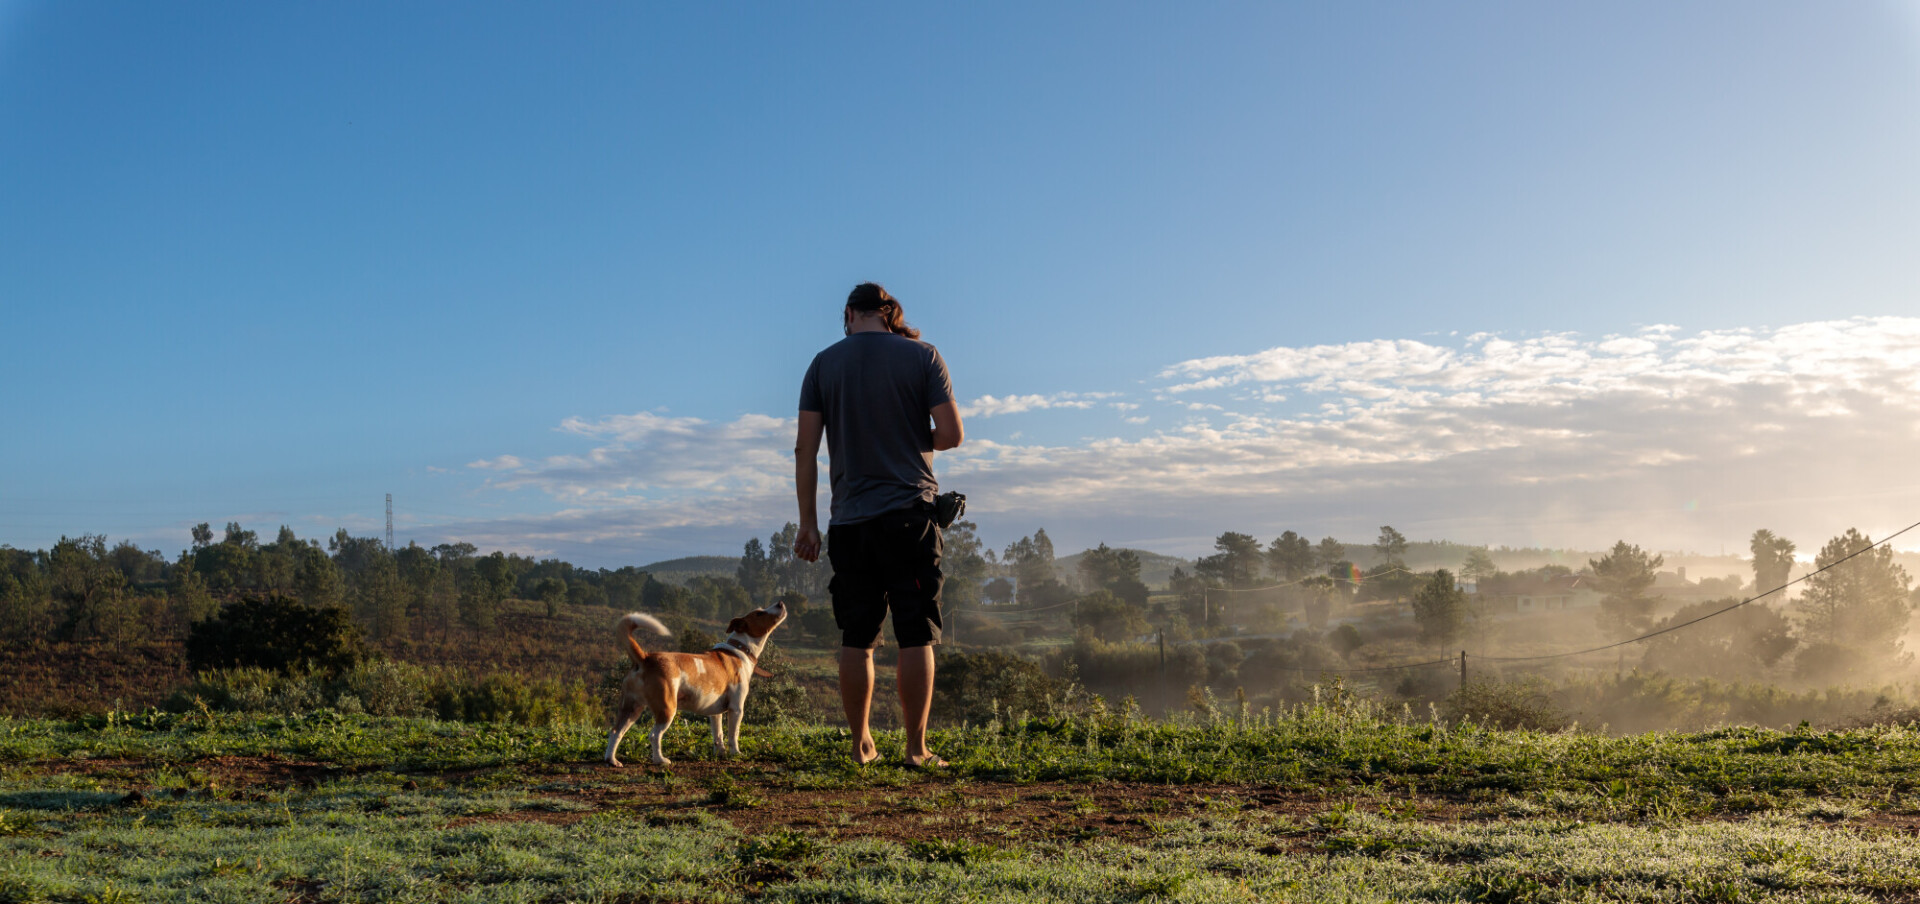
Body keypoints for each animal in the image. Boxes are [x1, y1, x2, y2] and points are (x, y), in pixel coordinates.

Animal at [595, 606, 783, 767]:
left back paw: (611, 760)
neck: (740, 649)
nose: (780, 603)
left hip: (631, 708)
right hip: (667, 709)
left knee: (615, 732)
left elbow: (718, 735)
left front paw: (720, 753)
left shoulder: (715, 713)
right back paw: (660, 760)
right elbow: (733, 735)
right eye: (759, 613)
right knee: (654, 735)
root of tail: (645, 658)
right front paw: (736, 754)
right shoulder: (736, 709)